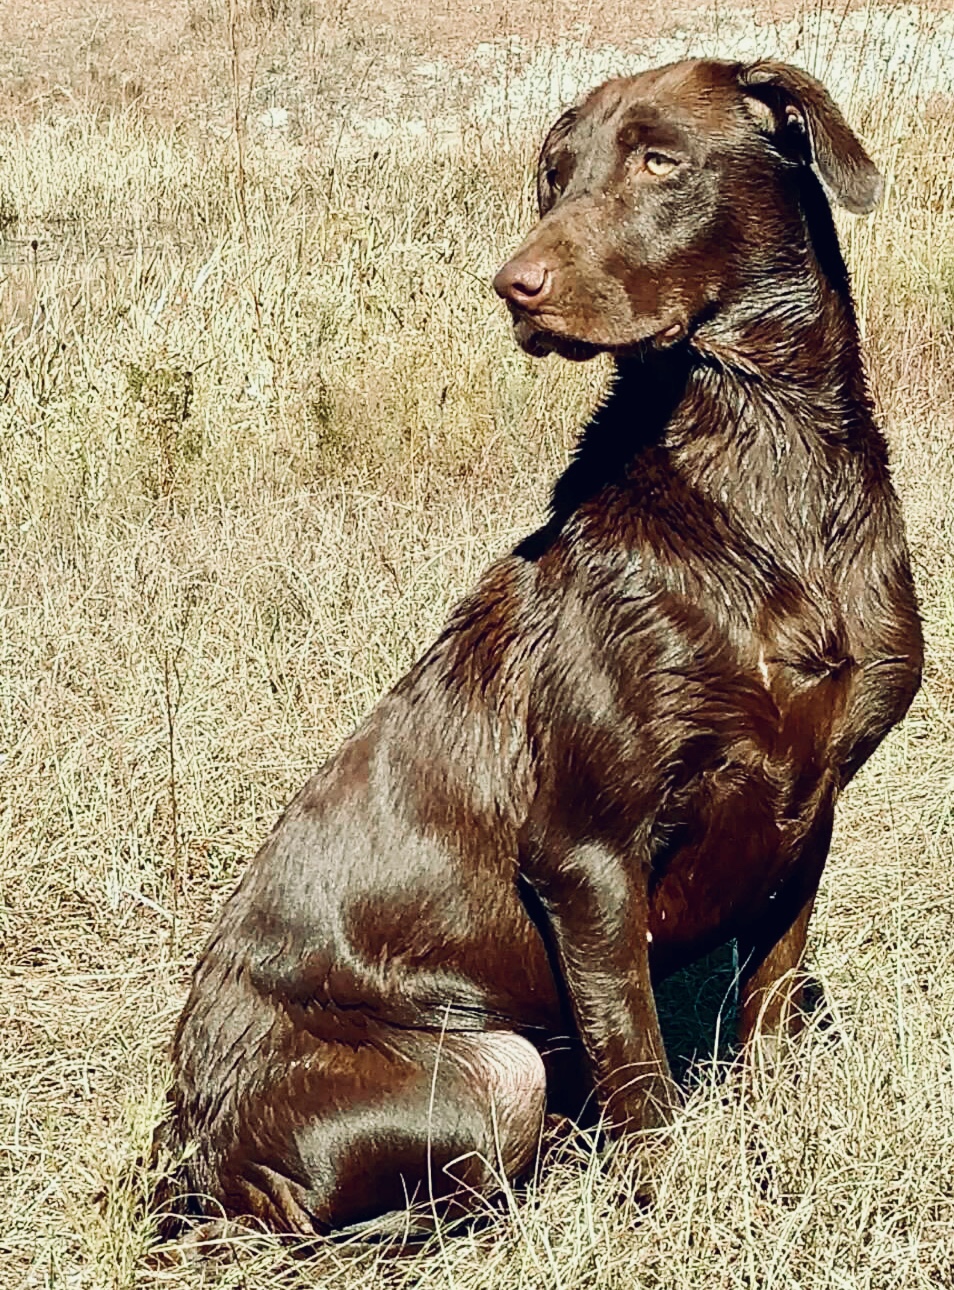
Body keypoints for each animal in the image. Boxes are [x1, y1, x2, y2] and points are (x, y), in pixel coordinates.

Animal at [152, 62, 917, 1238]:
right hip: (488, 1070)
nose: (514, 286)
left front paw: (779, 1136)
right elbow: (639, 1065)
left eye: (659, 160)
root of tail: (185, 1139)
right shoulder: (584, 853)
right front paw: (672, 1208)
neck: (767, 464)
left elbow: (772, 998)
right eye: (554, 177)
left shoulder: (813, 802)